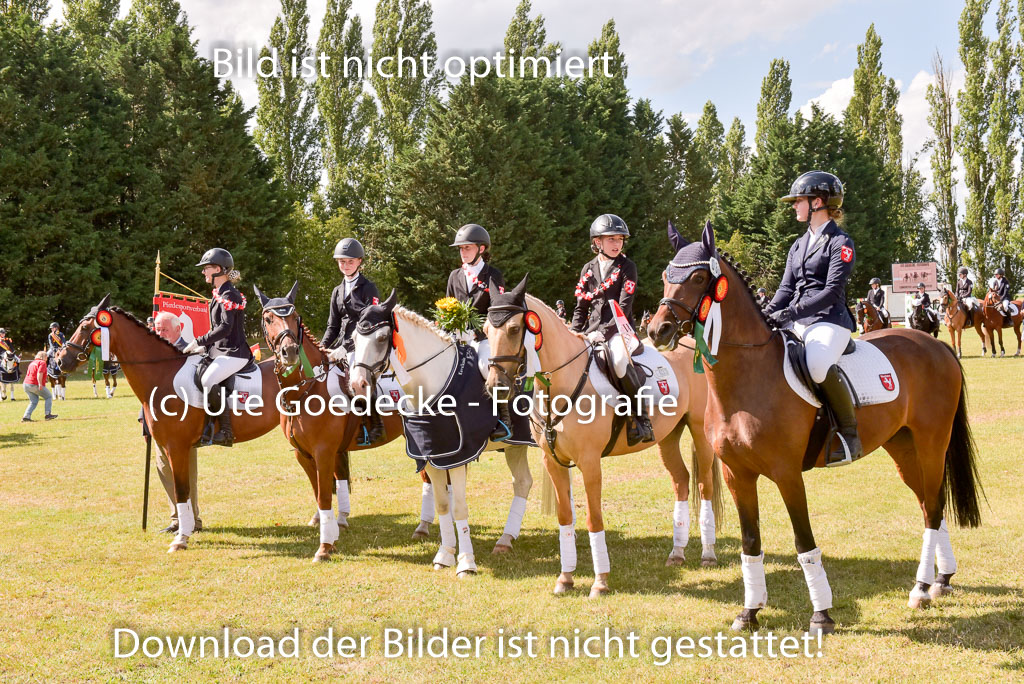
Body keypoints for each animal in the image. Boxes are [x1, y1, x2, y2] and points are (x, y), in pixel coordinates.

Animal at [55, 295, 285, 554]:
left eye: (85, 327)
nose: (60, 361)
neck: (163, 373)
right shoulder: (170, 447)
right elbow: (181, 491)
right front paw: (183, 531)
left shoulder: (177, 447)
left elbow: (181, 490)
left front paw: (181, 538)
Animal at [255, 283, 407, 561]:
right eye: (269, 319)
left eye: (295, 317)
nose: (289, 352)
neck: (305, 391)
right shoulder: (303, 454)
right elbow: (317, 492)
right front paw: (332, 530)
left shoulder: (324, 452)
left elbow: (325, 495)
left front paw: (324, 547)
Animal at [348, 291, 539, 578]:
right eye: (353, 338)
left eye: (381, 338)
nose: (357, 385)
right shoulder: (433, 455)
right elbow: (442, 505)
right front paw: (445, 554)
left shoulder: (458, 455)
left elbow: (459, 506)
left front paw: (467, 562)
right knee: (523, 483)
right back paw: (505, 540)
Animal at [484, 276, 722, 597]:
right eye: (486, 330)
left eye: (512, 329)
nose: (494, 385)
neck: (562, 384)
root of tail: (690, 344)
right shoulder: (552, 462)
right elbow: (565, 517)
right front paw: (565, 578)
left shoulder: (590, 462)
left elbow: (593, 518)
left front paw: (600, 582)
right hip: (669, 436)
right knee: (681, 481)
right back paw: (677, 553)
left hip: (698, 430)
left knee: (704, 484)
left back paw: (708, 554)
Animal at [647, 222, 982, 634]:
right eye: (666, 275)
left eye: (696, 277)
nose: (657, 330)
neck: (745, 379)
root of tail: (936, 346)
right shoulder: (736, 474)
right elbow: (750, 543)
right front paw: (749, 612)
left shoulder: (788, 474)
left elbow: (803, 542)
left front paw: (821, 616)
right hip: (904, 449)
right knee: (928, 505)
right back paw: (941, 579)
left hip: (932, 442)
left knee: (933, 508)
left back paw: (920, 589)